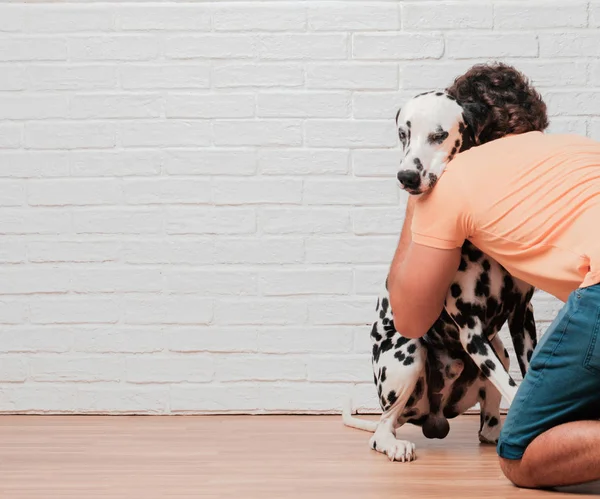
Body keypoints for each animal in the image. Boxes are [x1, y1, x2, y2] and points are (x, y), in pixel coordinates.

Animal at [344, 92, 536, 462]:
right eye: (403, 135)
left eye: (439, 135)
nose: (406, 176)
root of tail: (432, 416)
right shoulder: (471, 330)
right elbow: (515, 388)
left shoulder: (522, 318)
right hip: (407, 353)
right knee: (381, 429)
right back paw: (394, 444)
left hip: (499, 349)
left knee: (488, 424)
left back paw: (496, 434)